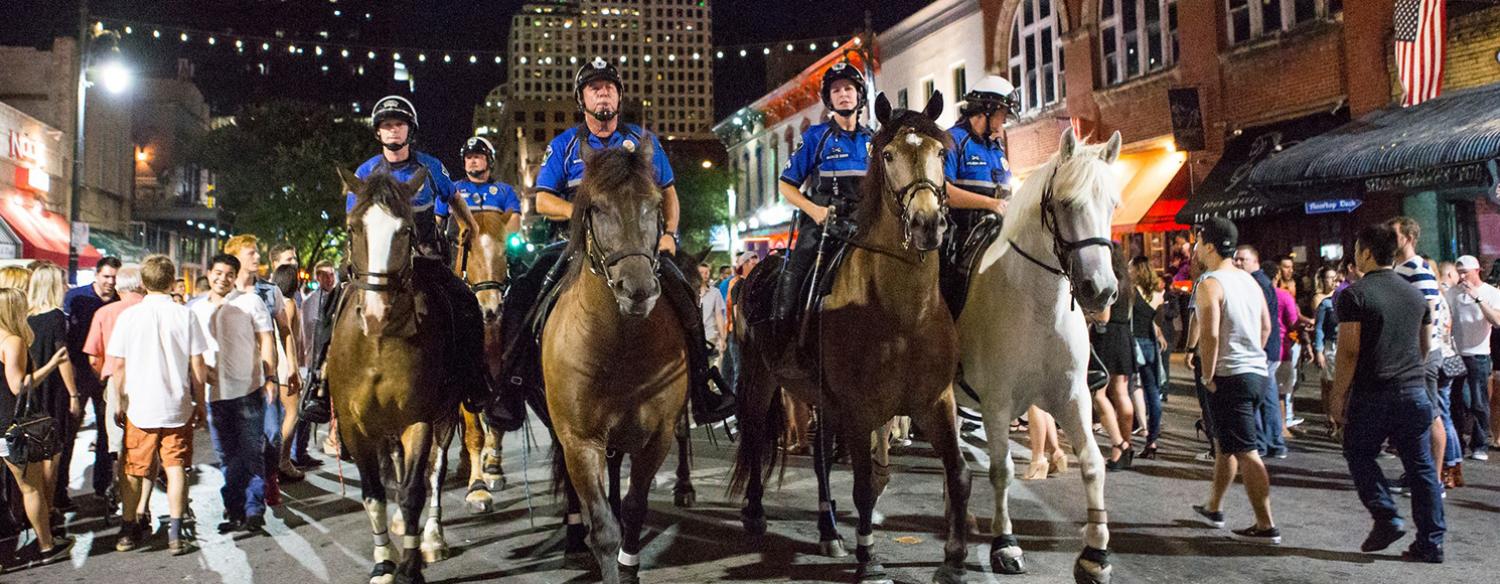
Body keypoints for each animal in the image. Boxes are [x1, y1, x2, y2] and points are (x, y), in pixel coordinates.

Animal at [331, 167, 459, 582]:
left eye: (404, 230)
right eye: (352, 228)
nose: (375, 313)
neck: (377, 345)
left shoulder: (419, 418)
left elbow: (414, 490)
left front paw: (411, 564)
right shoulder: (354, 426)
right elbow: (374, 494)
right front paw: (384, 563)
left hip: (445, 414)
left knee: (435, 471)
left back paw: (432, 537)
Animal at [540, 141, 687, 582]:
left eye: (653, 204)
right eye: (598, 207)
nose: (636, 289)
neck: (618, 346)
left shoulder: (657, 436)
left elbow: (635, 511)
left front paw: (629, 566)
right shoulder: (580, 440)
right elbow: (605, 528)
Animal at [729, 90, 972, 582]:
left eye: (941, 153)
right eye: (889, 154)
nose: (927, 225)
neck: (903, 314)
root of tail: (754, 271)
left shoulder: (934, 401)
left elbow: (955, 472)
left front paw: (955, 558)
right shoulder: (861, 411)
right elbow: (864, 484)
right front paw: (869, 557)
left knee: (821, 456)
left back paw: (829, 531)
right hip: (761, 380)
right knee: (754, 435)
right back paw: (757, 513)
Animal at [954, 128, 1122, 582]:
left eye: (1113, 204)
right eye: (1065, 203)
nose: (1101, 291)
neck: (1037, 305)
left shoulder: (1073, 396)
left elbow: (1093, 463)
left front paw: (1095, 553)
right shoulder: (996, 403)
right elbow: (1001, 470)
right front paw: (1005, 543)